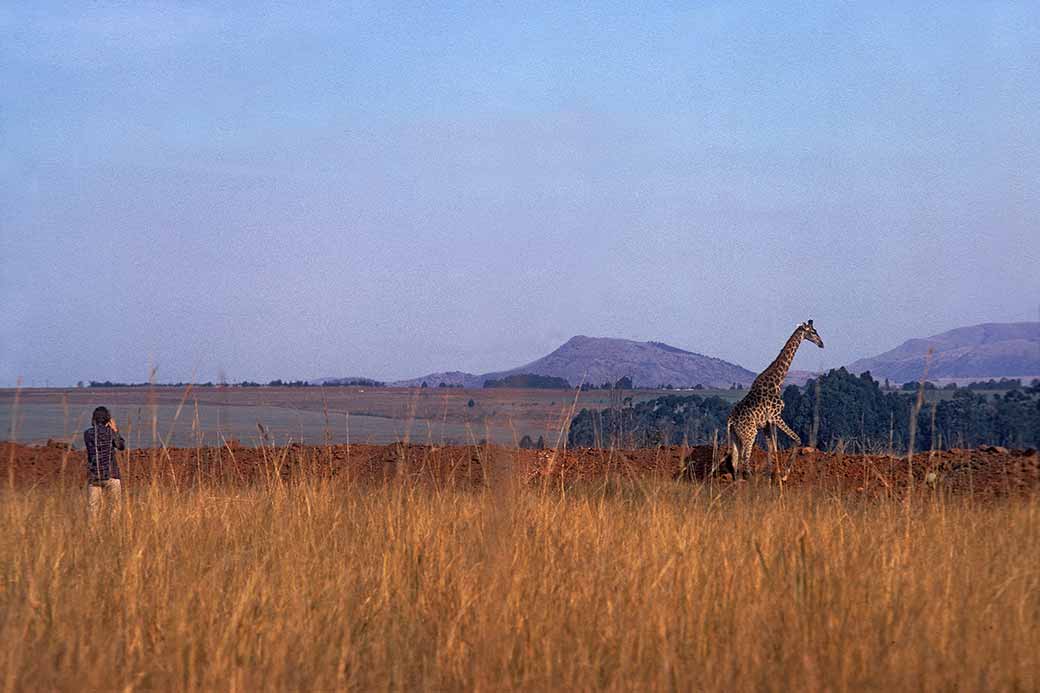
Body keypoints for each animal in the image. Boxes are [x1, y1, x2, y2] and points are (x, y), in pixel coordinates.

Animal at [719, 320, 823, 478]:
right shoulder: (775, 416)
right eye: (813, 332)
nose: (821, 343)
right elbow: (796, 439)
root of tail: (730, 420)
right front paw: (785, 474)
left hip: (735, 435)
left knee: (735, 460)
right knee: (744, 458)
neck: (777, 381)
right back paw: (750, 479)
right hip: (749, 434)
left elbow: (772, 448)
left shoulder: (766, 423)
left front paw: (772, 475)